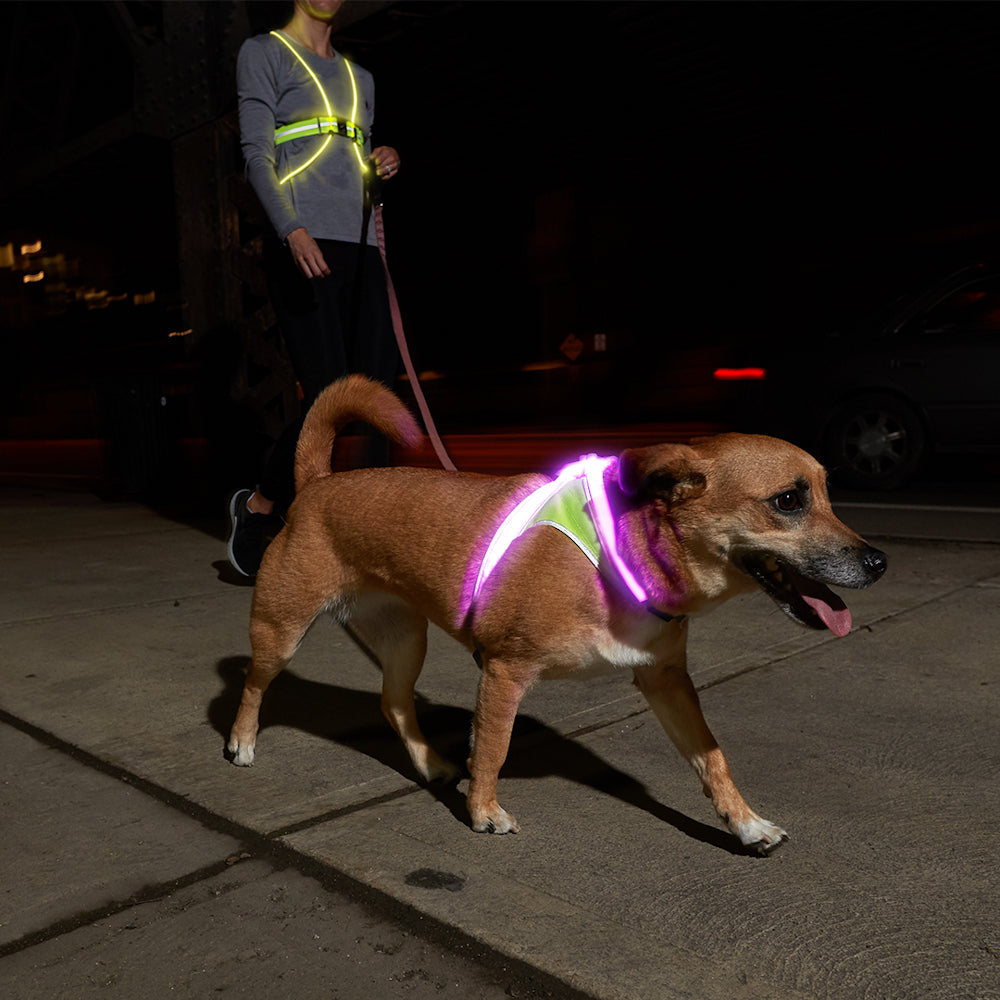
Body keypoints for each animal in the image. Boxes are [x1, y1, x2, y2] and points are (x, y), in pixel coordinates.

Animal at [230, 376, 888, 852]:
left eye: (828, 494)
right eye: (789, 501)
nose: (879, 561)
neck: (629, 550)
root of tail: (317, 484)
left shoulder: (666, 682)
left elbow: (712, 759)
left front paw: (746, 824)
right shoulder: (504, 671)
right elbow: (494, 748)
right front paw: (484, 811)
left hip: (404, 641)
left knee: (393, 704)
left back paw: (432, 763)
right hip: (282, 630)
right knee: (255, 683)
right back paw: (240, 742)